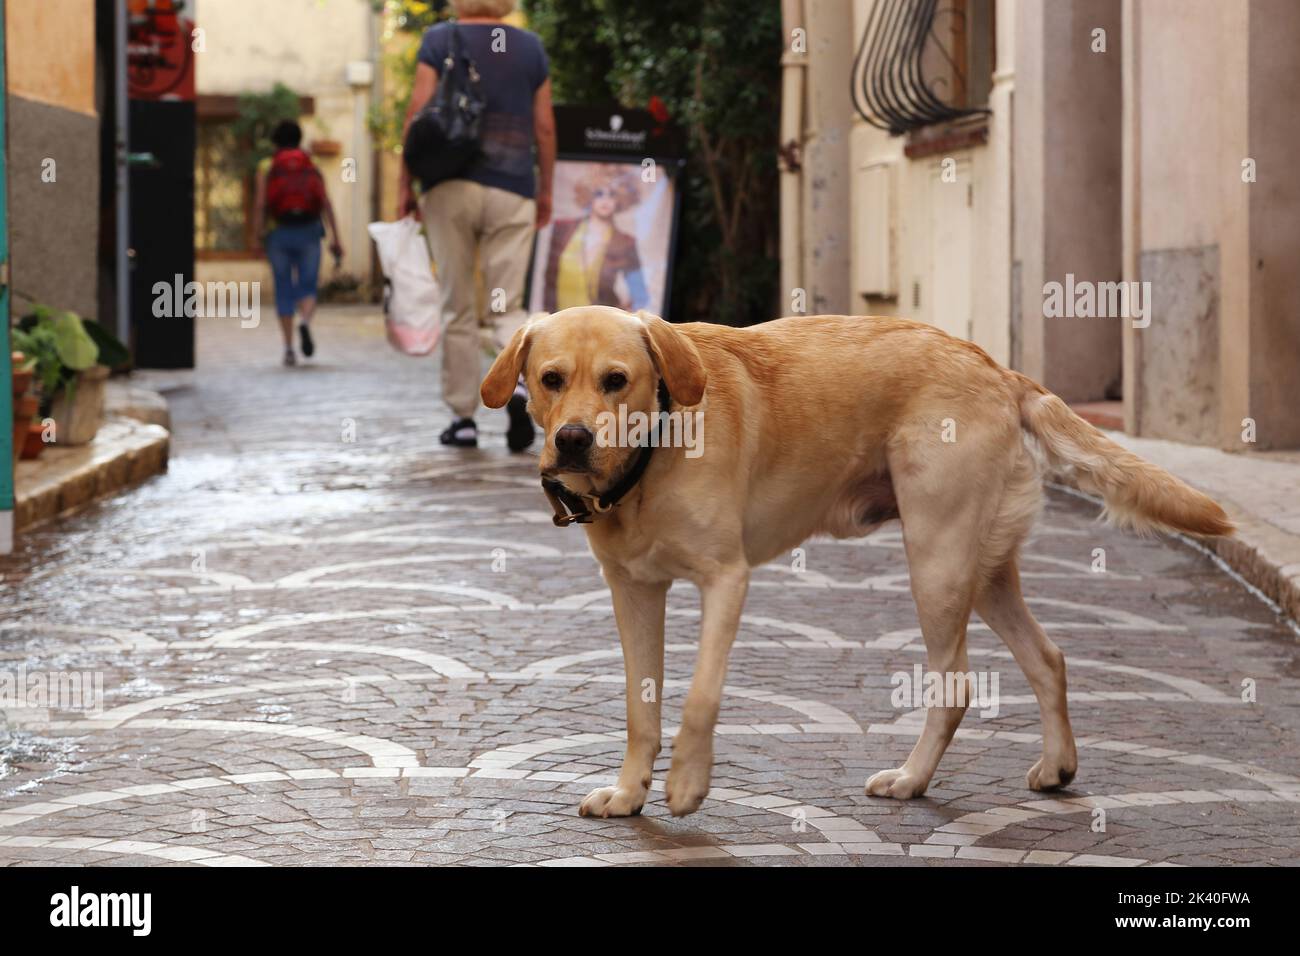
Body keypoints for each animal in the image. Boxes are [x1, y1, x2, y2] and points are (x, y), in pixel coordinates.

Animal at [483, 306, 1232, 816]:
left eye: (617, 380)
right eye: (550, 379)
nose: (572, 440)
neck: (656, 450)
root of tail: (993, 365)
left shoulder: (726, 579)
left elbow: (699, 695)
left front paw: (689, 782)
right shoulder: (632, 591)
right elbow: (642, 706)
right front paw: (630, 791)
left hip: (936, 560)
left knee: (954, 685)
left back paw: (913, 779)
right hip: (982, 568)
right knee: (1049, 658)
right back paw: (1057, 767)